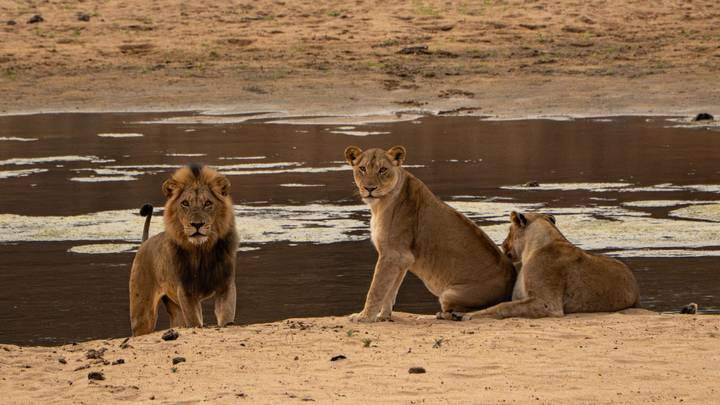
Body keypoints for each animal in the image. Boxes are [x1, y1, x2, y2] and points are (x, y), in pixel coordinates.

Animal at [129, 164, 239, 336]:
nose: (197, 224)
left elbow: (226, 316)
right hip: (142, 314)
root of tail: (144, 243)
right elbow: (194, 322)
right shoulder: (186, 291)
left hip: (176, 310)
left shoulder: (225, 286)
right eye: (185, 203)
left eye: (208, 203)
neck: (202, 251)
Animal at [343, 145, 516, 322]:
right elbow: (390, 291)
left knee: (471, 312)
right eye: (362, 169)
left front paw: (363, 317)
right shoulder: (402, 259)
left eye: (383, 170)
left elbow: (376, 289)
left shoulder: (393, 254)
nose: (369, 188)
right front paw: (383, 316)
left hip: (449, 294)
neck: (379, 205)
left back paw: (439, 316)